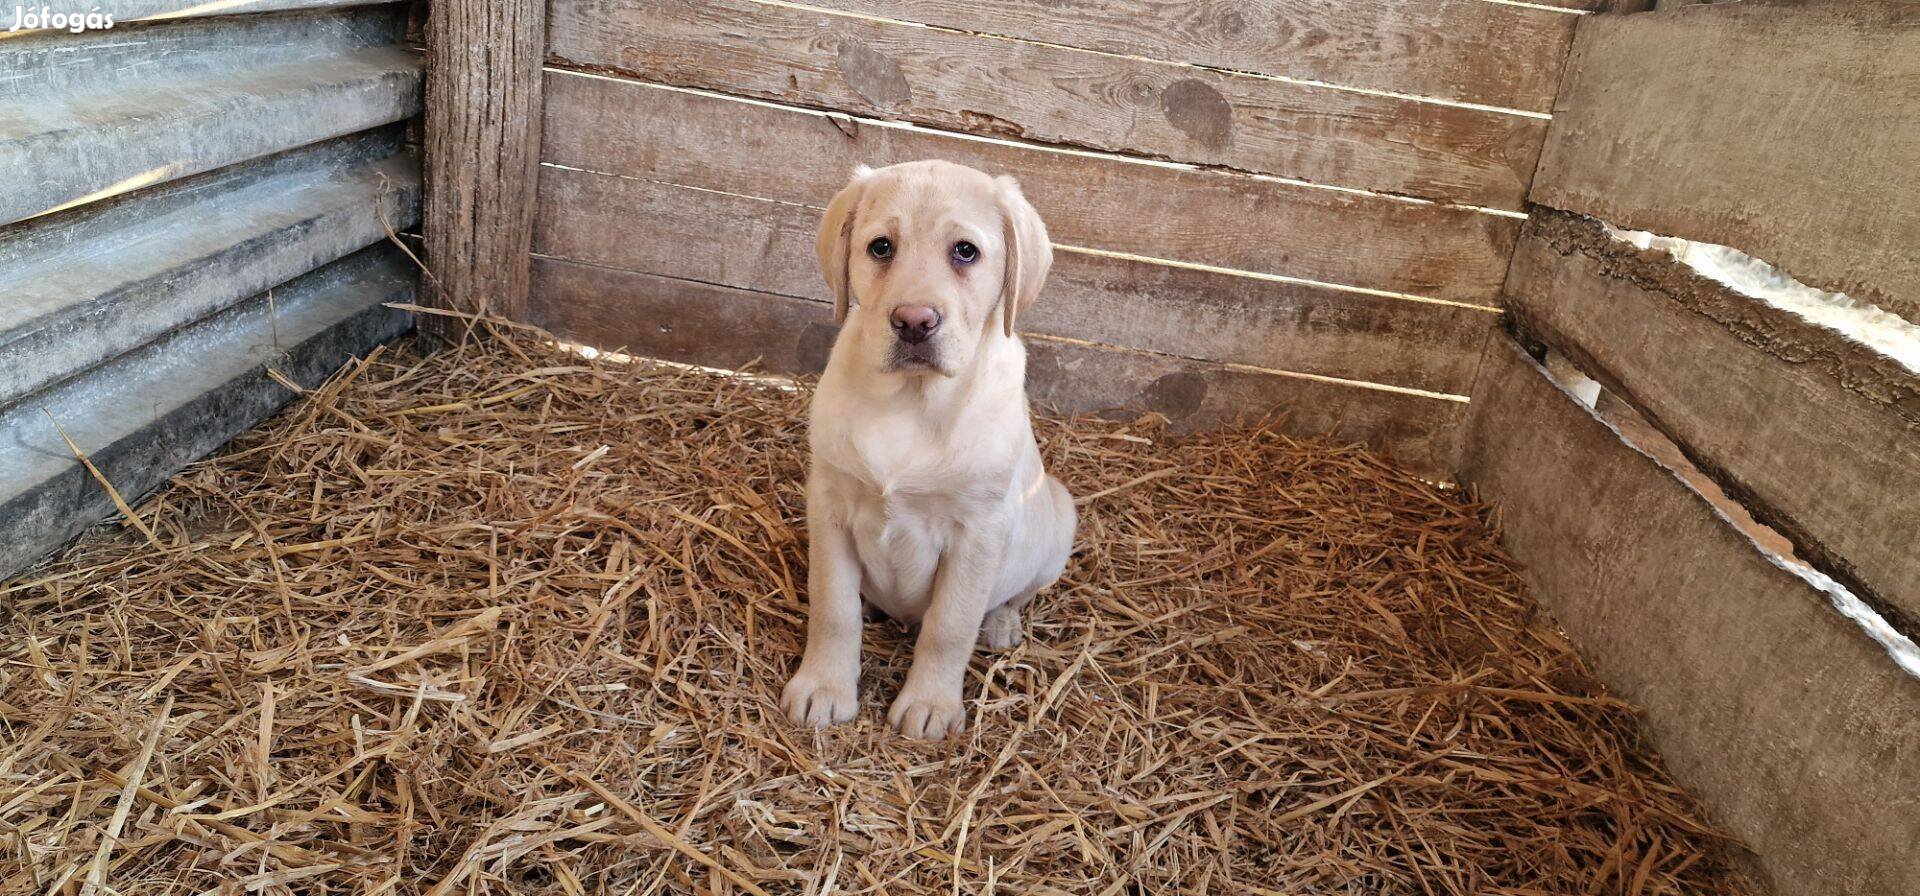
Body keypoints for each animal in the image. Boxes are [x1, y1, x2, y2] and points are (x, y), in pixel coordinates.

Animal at [779, 163, 1082, 744]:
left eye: (965, 251)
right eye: (880, 247)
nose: (915, 321)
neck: (911, 401)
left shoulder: (978, 532)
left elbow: (949, 625)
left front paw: (929, 703)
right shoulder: (828, 506)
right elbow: (832, 608)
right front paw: (824, 686)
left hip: (1059, 520)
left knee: (1013, 595)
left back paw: (1001, 624)